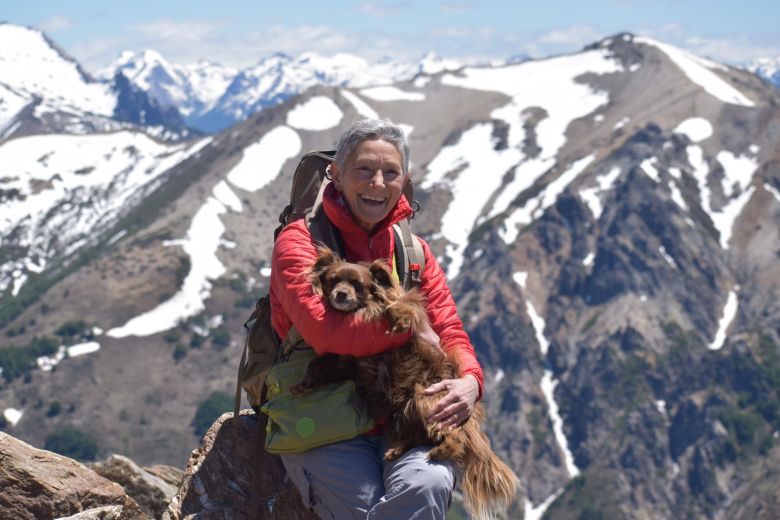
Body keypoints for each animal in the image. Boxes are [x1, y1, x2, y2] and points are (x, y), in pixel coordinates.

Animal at [290, 246, 516, 516]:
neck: (360, 309)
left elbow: (395, 305)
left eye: (358, 285)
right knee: (419, 435)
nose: (341, 294)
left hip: (429, 398)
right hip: (407, 410)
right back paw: (396, 450)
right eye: (333, 280)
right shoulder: (345, 359)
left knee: (453, 437)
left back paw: (441, 450)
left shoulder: (406, 305)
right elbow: (317, 364)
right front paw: (303, 384)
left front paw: (398, 321)